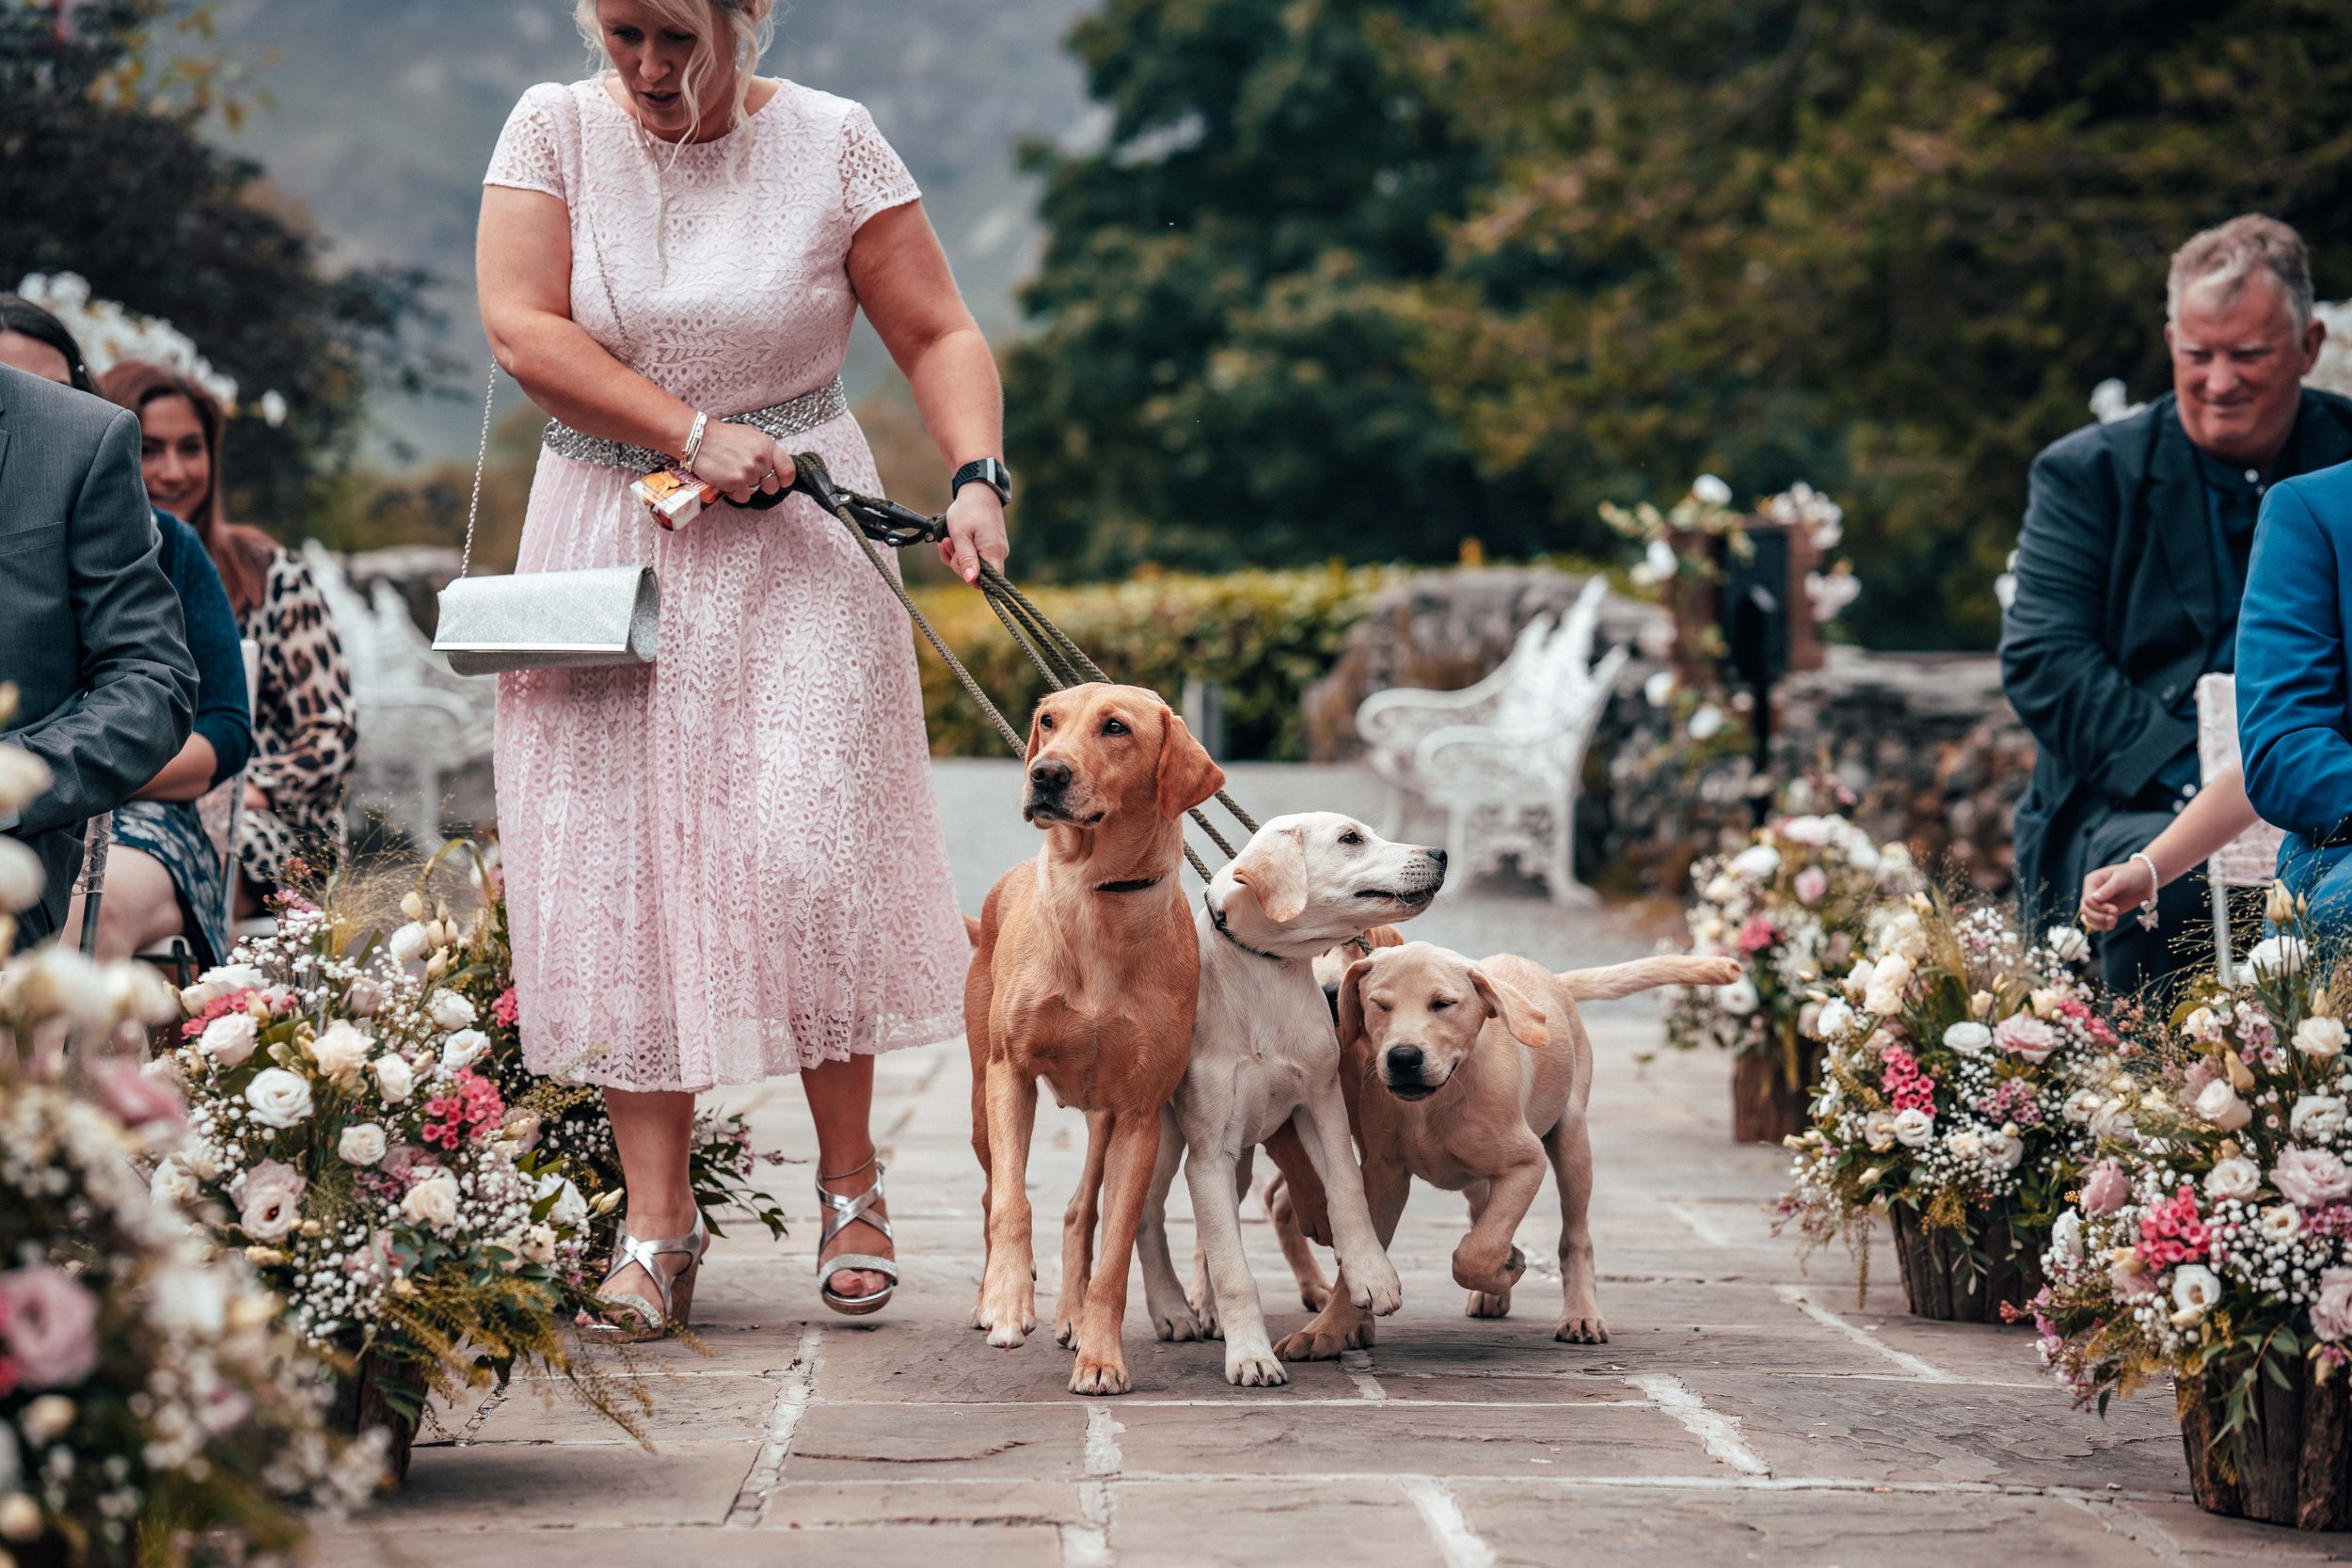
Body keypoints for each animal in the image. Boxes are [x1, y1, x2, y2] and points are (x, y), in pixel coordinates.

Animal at [1270, 944, 1750, 1363]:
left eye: (1443, 1004)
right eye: (1379, 1005)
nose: (1403, 1058)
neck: (1438, 1098)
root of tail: (1551, 978)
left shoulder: (1526, 1163)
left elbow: (1476, 1253)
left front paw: (1508, 1266)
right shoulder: (1384, 1175)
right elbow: (1360, 1261)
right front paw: (1326, 1332)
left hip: (1571, 1141)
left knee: (1574, 1237)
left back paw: (1579, 1314)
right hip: (1479, 1175)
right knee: (1484, 1212)